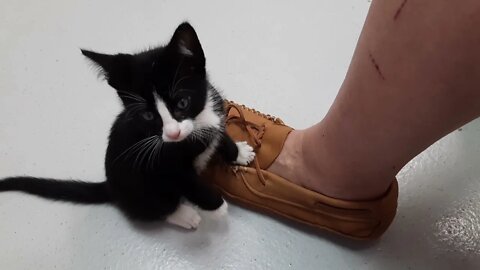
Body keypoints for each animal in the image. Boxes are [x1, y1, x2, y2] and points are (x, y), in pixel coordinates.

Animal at [0, 22, 255, 230]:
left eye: (182, 102)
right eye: (148, 115)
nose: (173, 133)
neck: (198, 121)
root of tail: (111, 186)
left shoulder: (215, 109)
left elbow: (222, 134)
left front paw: (240, 152)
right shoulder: (166, 163)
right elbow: (189, 182)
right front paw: (217, 208)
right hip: (139, 185)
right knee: (152, 207)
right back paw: (183, 215)